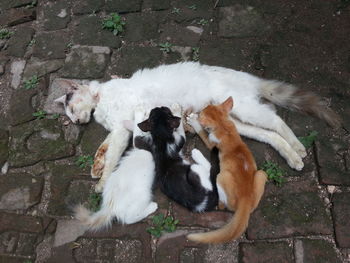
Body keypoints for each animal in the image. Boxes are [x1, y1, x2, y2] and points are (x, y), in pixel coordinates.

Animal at [55, 63, 342, 193]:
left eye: (71, 109)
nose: (76, 122)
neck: (100, 99)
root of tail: (246, 78)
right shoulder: (119, 130)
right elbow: (104, 149)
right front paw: (96, 167)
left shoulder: (122, 129)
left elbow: (112, 154)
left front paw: (102, 181)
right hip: (231, 122)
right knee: (268, 134)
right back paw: (292, 156)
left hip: (245, 109)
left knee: (276, 120)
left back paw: (298, 147)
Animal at [187, 97, 266, 245]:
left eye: (201, 112)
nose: (198, 112)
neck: (224, 125)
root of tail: (246, 199)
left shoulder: (211, 143)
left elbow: (202, 132)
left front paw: (193, 121)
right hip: (261, 174)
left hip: (222, 176)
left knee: (224, 204)